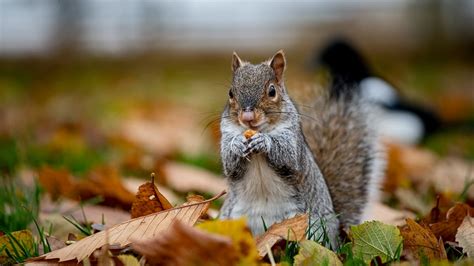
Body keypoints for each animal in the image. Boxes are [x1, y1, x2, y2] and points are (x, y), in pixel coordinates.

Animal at [218, 50, 386, 247]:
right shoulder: (226, 134)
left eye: (272, 91)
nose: (247, 116)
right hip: (230, 220)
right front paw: (236, 144)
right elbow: (230, 164)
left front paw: (264, 141)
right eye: (231, 92)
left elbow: (288, 157)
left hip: (312, 228)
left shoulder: (293, 142)